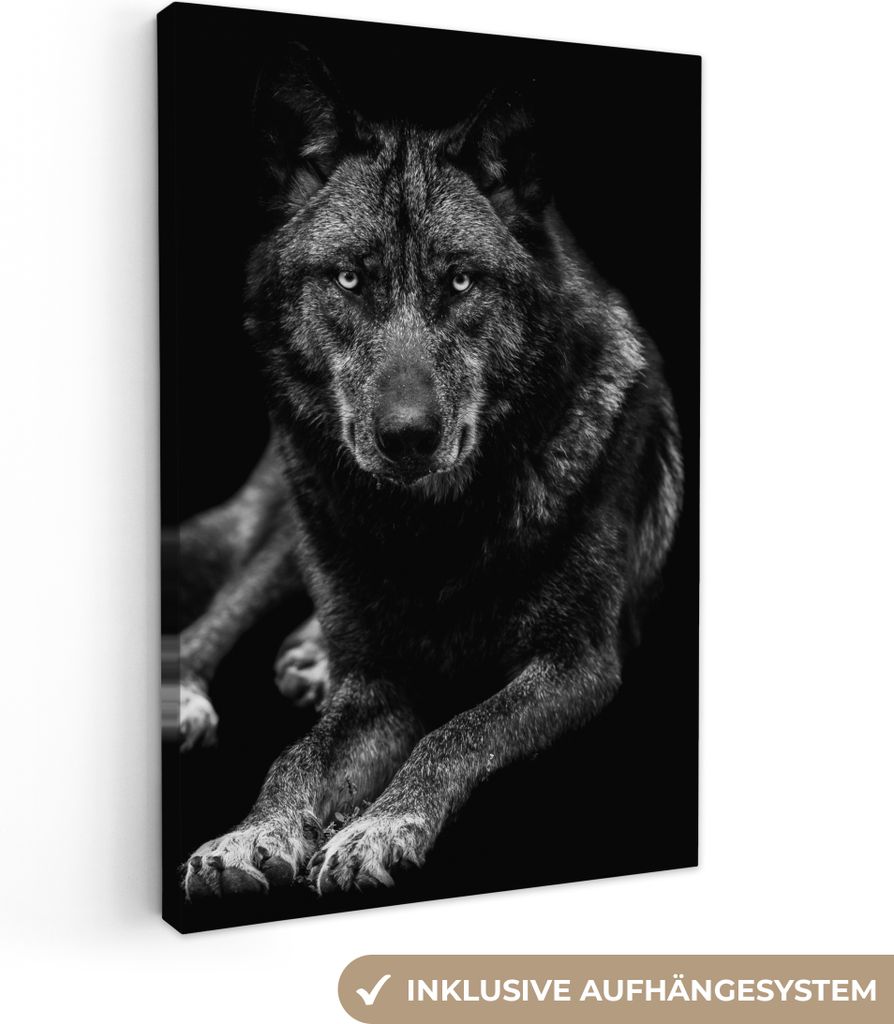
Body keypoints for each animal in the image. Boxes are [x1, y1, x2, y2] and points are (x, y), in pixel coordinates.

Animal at [177, 51, 683, 898]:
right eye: (349, 280)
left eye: (461, 282)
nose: (408, 437)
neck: (432, 533)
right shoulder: (379, 686)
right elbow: (296, 758)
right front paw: (251, 834)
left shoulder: (579, 663)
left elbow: (457, 731)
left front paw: (375, 826)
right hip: (295, 524)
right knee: (204, 621)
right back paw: (187, 693)